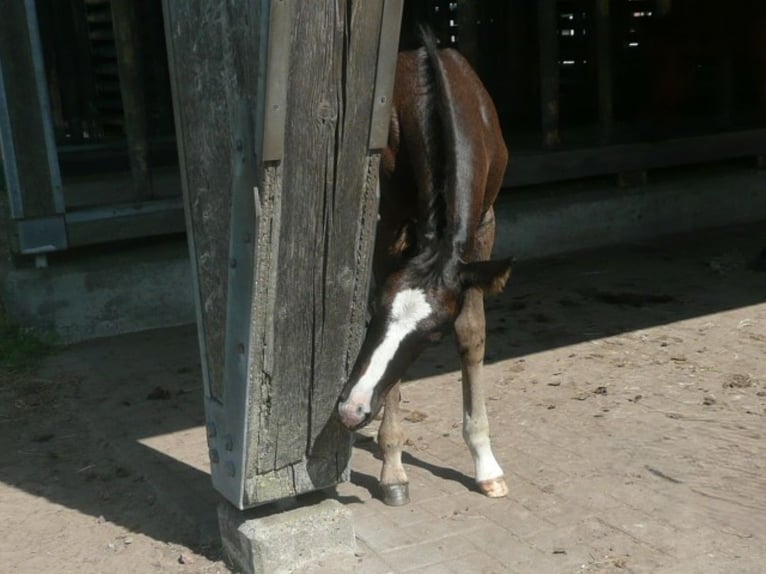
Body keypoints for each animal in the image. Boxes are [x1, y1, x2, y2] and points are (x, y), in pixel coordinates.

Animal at [340, 30, 510, 508]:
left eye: (433, 335)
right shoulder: (388, 228)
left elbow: (472, 332)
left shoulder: (483, 227)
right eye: (378, 315)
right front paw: (393, 470)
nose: (351, 410)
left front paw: (486, 465)